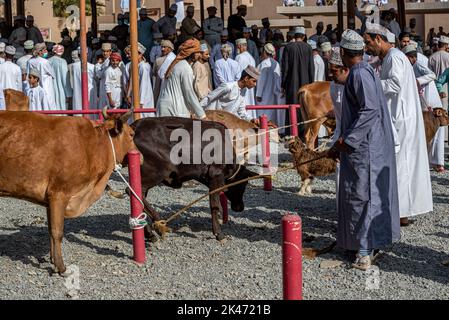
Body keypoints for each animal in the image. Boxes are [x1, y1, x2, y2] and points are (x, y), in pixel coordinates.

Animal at [0, 110, 136, 276]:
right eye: (131, 134)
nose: (140, 156)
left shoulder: (49, 199)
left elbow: (50, 230)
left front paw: (53, 260)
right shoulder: (59, 194)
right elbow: (57, 232)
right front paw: (61, 267)